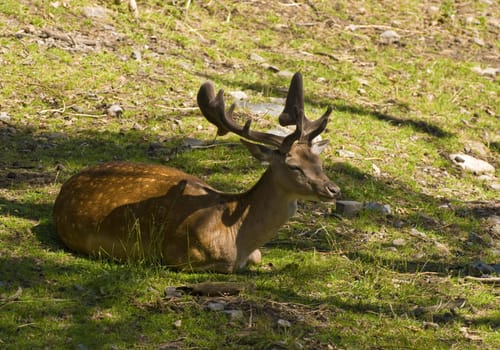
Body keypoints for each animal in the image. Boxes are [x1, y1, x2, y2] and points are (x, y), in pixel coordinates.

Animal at [52, 72, 342, 272]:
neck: (236, 239)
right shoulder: (179, 255)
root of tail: (65, 187)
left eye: (319, 161)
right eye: (293, 165)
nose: (334, 189)